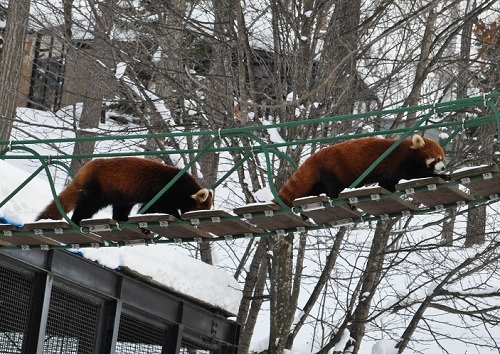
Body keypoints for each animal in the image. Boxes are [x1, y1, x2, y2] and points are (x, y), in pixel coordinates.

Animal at [36, 158, 213, 224]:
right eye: (200, 208)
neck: (182, 186)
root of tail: (87, 167)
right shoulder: (162, 191)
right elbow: (155, 207)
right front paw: (176, 215)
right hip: (99, 190)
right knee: (87, 207)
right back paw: (77, 220)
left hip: (121, 194)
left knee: (120, 207)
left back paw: (122, 219)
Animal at [278, 136, 446, 207]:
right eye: (437, 159)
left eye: (443, 158)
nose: (443, 167)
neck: (408, 150)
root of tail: (315, 156)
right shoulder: (401, 162)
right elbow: (412, 174)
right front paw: (442, 175)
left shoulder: (389, 172)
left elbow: (387, 183)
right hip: (334, 170)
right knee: (334, 187)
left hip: (320, 178)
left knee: (311, 190)